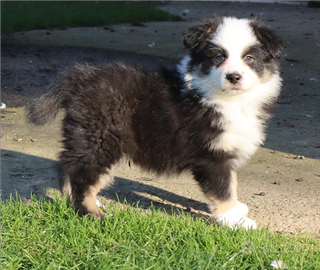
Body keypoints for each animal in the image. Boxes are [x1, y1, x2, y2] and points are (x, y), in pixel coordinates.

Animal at [26, 16, 282, 229]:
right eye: (219, 57)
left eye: (249, 58)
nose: (233, 77)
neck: (224, 99)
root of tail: (82, 77)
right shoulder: (212, 157)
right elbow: (223, 189)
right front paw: (236, 221)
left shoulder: (226, 148)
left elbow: (232, 183)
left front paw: (237, 210)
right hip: (102, 137)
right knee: (82, 172)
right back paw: (92, 214)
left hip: (85, 134)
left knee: (67, 164)